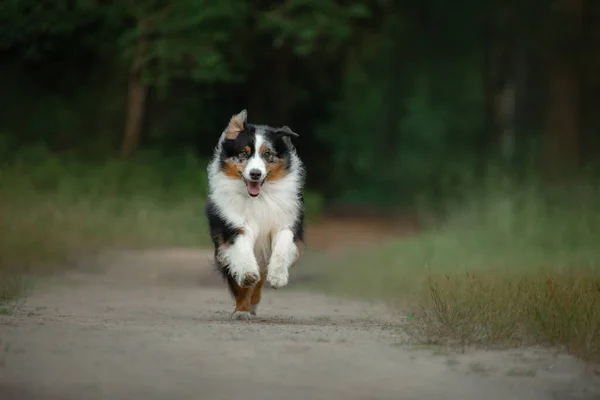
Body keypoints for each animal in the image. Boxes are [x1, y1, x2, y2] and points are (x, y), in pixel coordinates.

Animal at [205, 108, 304, 318]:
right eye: (243, 153)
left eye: (268, 154)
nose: (255, 174)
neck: (259, 197)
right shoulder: (234, 227)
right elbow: (242, 252)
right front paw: (248, 274)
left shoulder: (285, 223)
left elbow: (282, 246)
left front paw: (278, 276)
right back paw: (243, 309)